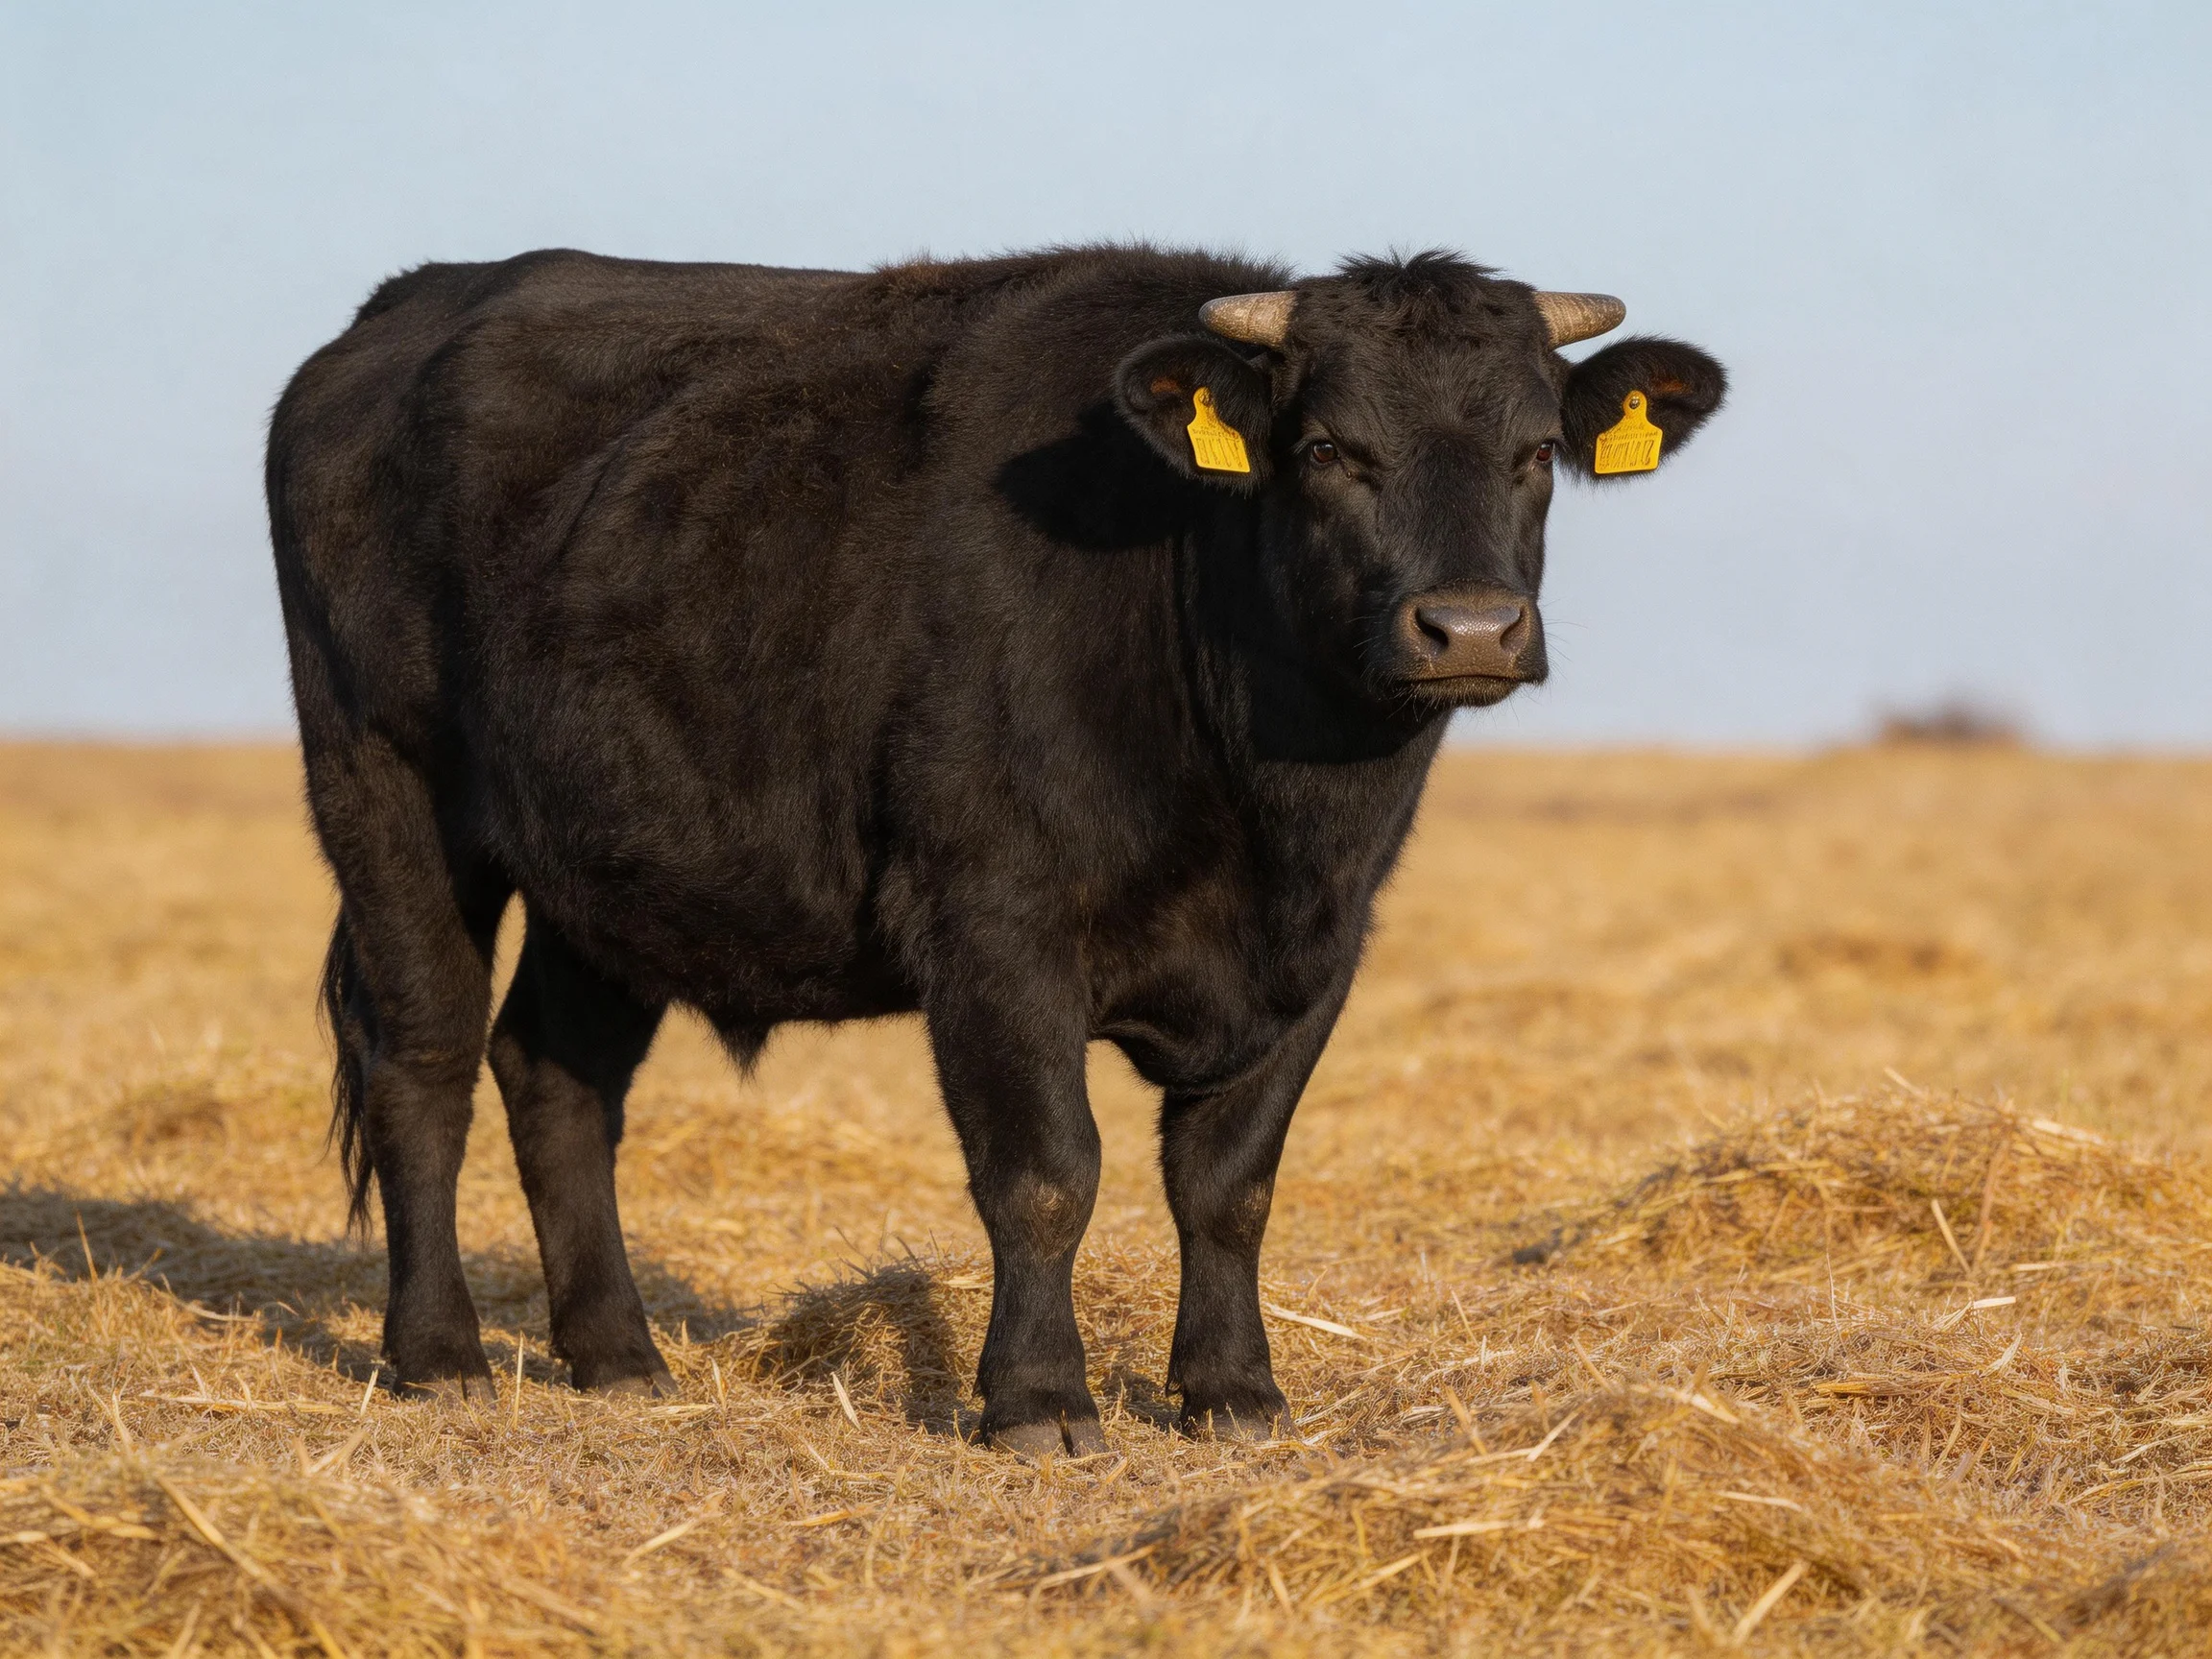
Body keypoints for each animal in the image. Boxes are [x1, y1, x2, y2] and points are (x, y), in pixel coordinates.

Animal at [267, 245, 1724, 1455]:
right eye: (1327, 447)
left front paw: (1234, 1390)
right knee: (425, 1062)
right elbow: (1044, 1174)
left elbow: (1230, 1184)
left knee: (555, 1076)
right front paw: (1036, 1401)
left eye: (1534, 450)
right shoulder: (994, 930)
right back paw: (440, 1356)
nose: (1469, 628)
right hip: (388, 793)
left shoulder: (1320, 954)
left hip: (614, 863)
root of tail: (408, 308)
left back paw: (619, 1357)